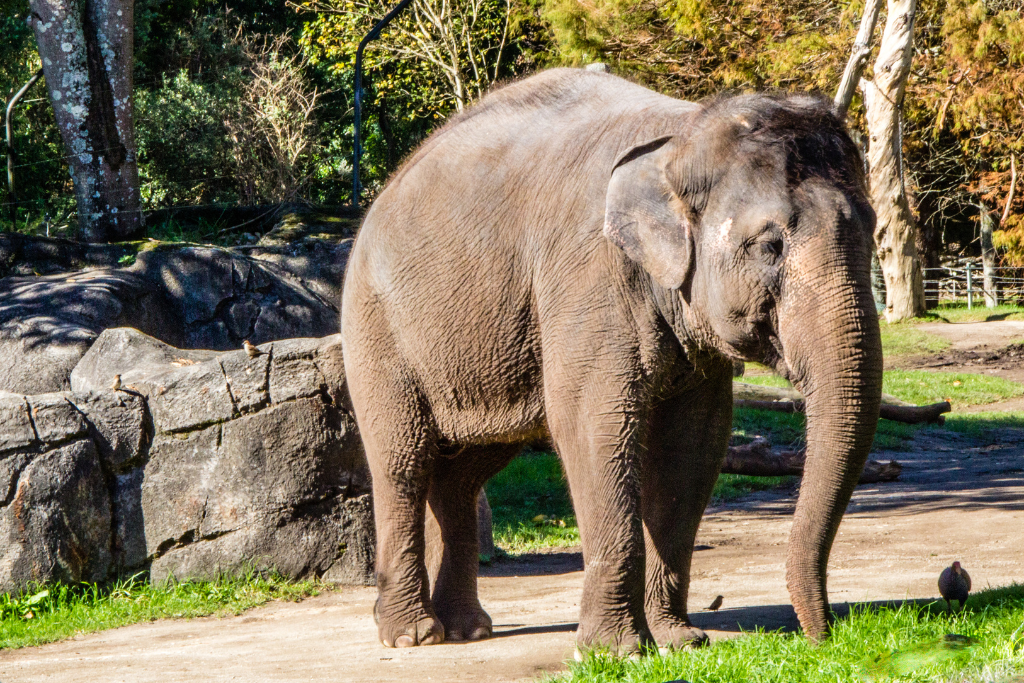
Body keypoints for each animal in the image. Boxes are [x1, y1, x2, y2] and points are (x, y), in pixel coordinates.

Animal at [339, 66, 884, 655]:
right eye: (769, 246)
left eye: (873, 230)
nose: (822, 638)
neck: (682, 134)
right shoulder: (588, 280)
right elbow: (593, 423)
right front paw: (617, 651)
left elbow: (694, 445)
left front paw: (680, 641)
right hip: (375, 329)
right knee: (403, 461)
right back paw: (412, 635)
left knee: (465, 471)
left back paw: (466, 629)